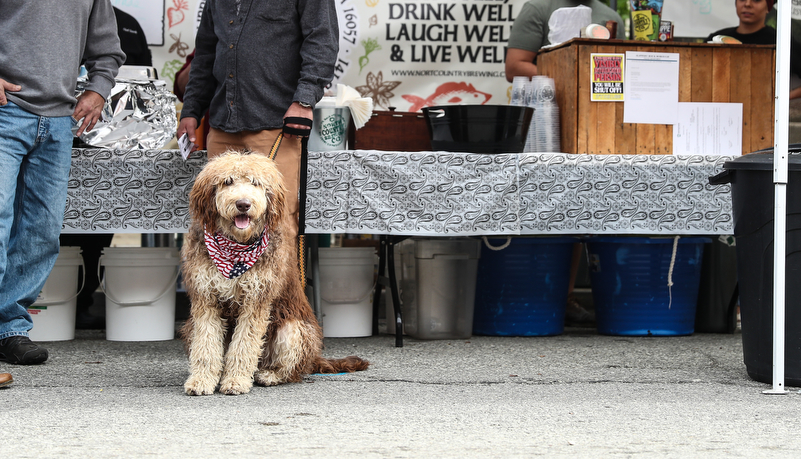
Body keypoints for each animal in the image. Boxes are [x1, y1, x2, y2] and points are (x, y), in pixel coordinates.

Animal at [180, 151, 368, 396]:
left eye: (255, 183)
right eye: (227, 181)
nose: (243, 204)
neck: (236, 247)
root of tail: (314, 358)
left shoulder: (256, 300)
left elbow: (244, 345)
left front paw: (236, 380)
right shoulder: (206, 297)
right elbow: (205, 344)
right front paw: (201, 380)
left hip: (294, 329)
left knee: (292, 370)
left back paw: (270, 374)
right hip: (188, 327)